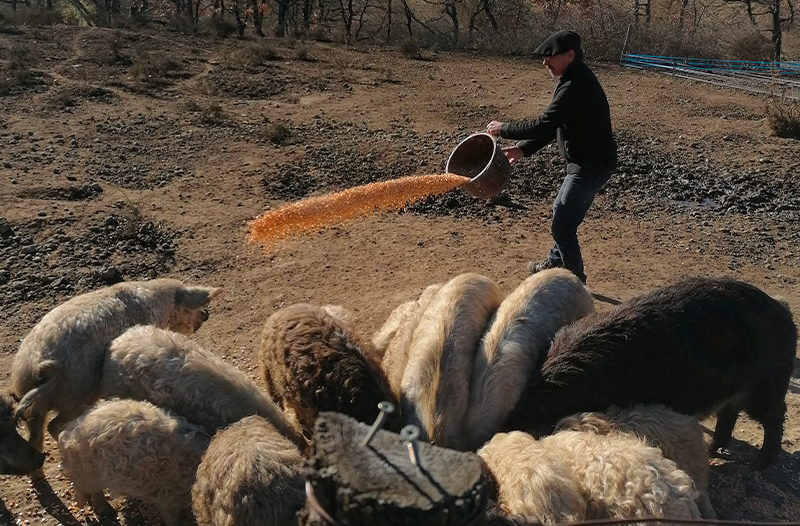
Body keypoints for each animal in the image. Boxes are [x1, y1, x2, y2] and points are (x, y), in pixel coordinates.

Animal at [10, 278, 222, 456]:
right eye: (189, 308)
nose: (207, 314)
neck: (160, 308)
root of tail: (33, 365)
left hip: (37, 406)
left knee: (34, 438)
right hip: (78, 389)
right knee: (54, 426)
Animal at [58, 400, 211, 526]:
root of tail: (69, 430)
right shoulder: (168, 496)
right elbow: (172, 517)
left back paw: (108, 511)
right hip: (86, 472)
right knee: (81, 487)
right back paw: (87, 505)